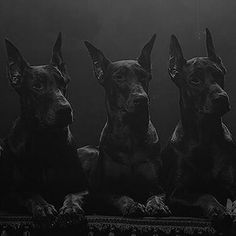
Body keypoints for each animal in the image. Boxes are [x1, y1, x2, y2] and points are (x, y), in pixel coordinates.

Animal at [0, 33, 88, 221]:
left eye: (63, 84)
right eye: (37, 86)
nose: (65, 109)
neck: (46, 139)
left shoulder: (81, 186)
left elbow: (73, 195)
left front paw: (70, 208)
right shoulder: (13, 192)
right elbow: (31, 194)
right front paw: (43, 206)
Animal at [79, 34, 170, 217]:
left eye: (144, 76)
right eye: (119, 77)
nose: (142, 99)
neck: (130, 134)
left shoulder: (156, 185)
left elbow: (156, 195)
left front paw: (156, 205)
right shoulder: (104, 190)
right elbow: (121, 196)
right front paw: (132, 205)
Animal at [161, 27, 236, 223]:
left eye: (219, 75)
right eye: (195, 80)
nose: (222, 98)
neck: (205, 136)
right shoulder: (175, 194)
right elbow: (204, 194)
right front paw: (217, 208)